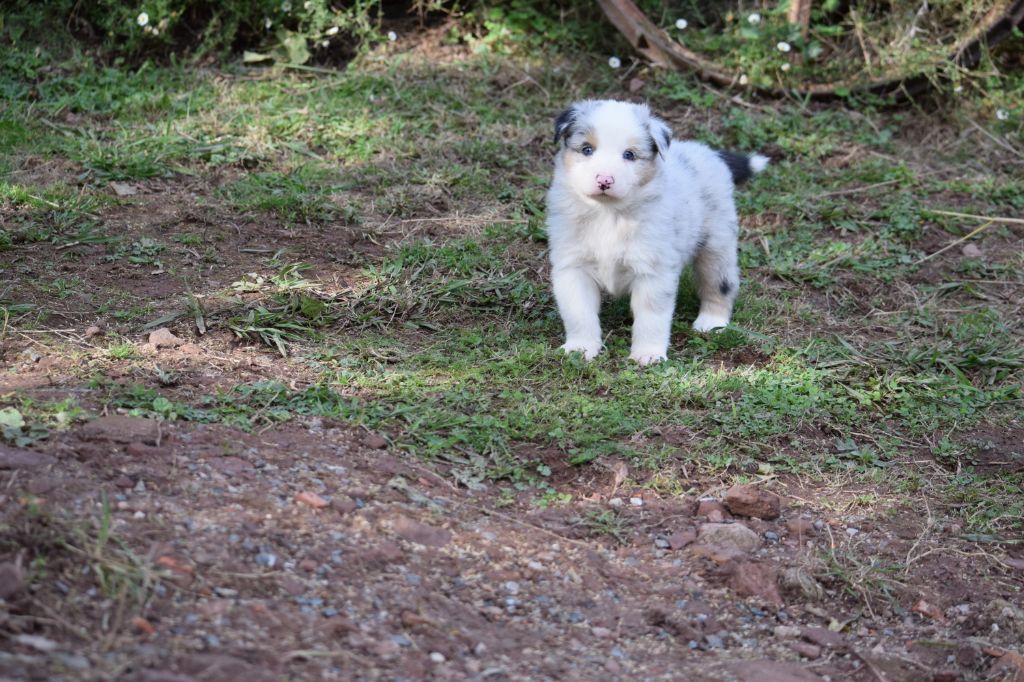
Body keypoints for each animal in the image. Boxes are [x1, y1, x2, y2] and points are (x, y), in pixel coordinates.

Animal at [548, 98, 765, 364]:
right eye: (587, 149)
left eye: (629, 154)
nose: (605, 180)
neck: (609, 213)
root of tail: (708, 153)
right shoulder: (573, 266)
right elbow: (579, 313)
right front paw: (580, 348)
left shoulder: (654, 271)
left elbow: (651, 317)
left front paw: (648, 355)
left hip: (717, 244)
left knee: (720, 284)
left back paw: (711, 322)